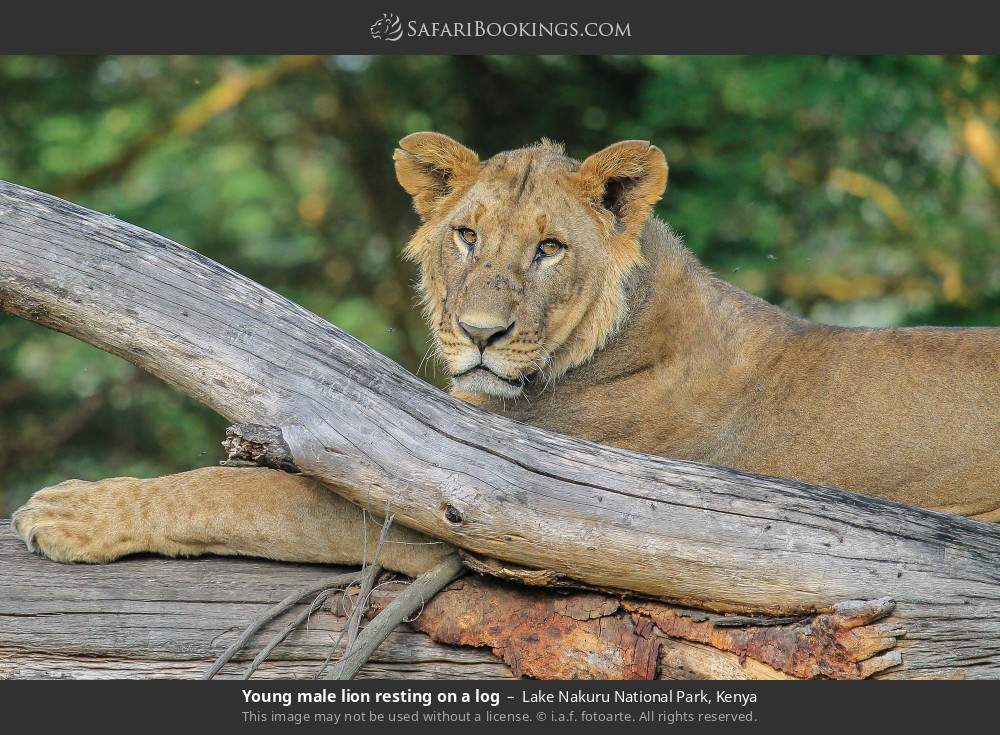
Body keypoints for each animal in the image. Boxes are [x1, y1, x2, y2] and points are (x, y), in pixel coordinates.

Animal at [9, 132, 1000, 576]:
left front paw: (68, 510)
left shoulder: (478, 504)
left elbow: (241, 492)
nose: (481, 331)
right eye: (467, 235)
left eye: (549, 249)